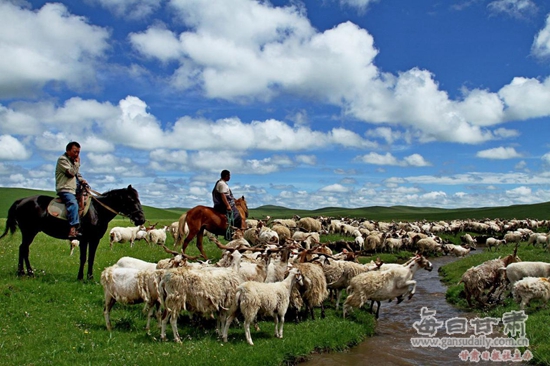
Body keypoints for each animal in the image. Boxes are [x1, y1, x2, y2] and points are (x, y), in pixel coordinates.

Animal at [0, 186, 147, 280]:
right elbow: (83, 258)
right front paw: (80, 277)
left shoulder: (94, 239)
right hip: (29, 231)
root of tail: (20, 201)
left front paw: (90, 277)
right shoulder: (84, 239)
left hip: (29, 232)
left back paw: (24, 272)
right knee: (24, 249)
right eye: (132, 200)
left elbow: (91, 258)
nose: (141, 219)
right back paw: (27, 272)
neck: (97, 211)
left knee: (23, 249)